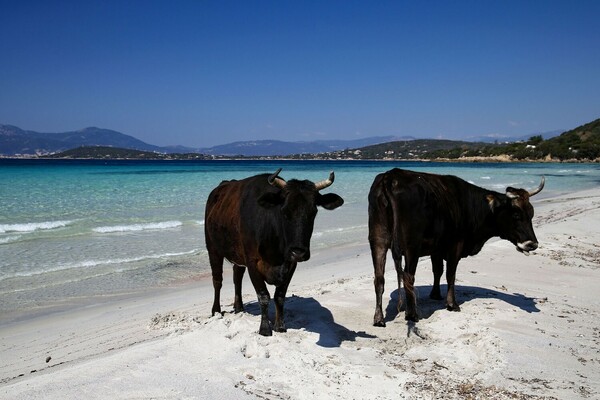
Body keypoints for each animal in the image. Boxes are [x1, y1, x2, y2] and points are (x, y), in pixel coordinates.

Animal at [205, 167, 342, 336]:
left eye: (313, 212)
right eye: (284, 211)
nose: (299, 252)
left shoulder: (290, 264)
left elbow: (279, 296)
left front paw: (280, 325)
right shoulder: (252, 262)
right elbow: (263, 296)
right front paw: (265, 328)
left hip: (237, 255)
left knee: (237, 277)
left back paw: (239, 307)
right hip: (212, 248)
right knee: (217, 281)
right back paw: (216, 311)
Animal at [368, 167, 548, 326]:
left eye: (531, 214)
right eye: (516, 215)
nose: (532, 244)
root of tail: (391, 176)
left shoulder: (437, 248)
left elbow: (438, 270)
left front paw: (435, 294)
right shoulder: (455, 245)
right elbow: (450, 274)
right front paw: (452, 304)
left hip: (378, 240)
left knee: (379, 278)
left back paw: (379, 318)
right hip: (412, 245)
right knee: (408, 277)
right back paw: (412, 314)